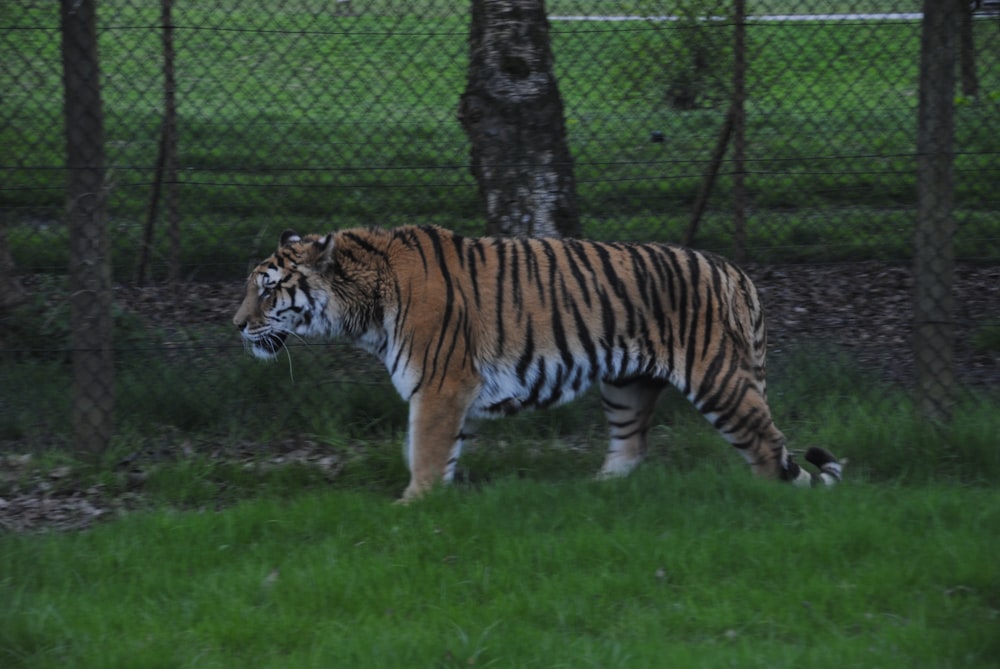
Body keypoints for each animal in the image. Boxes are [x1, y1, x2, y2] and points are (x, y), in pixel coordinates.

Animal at [236, 226, 844, 500]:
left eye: (268, 290)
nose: (237, 325)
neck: (363, 308)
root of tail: (735, 271)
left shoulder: (439, 385)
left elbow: (425, 451)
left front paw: (412, 505)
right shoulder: (452, 393)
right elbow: (439, 451)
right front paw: (440, 500)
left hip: (718, 378)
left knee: (766, 443)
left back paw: (763, 500)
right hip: (626, 385)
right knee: (632, 446)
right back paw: (595, 491)